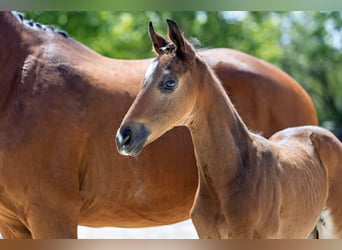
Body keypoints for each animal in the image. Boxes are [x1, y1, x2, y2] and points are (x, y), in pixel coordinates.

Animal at [0, 12, 318, 238]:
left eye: (169, 83)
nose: (123, 137)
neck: (18, 81)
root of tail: (298, 89)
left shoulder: (52, 214)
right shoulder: (14, 224)